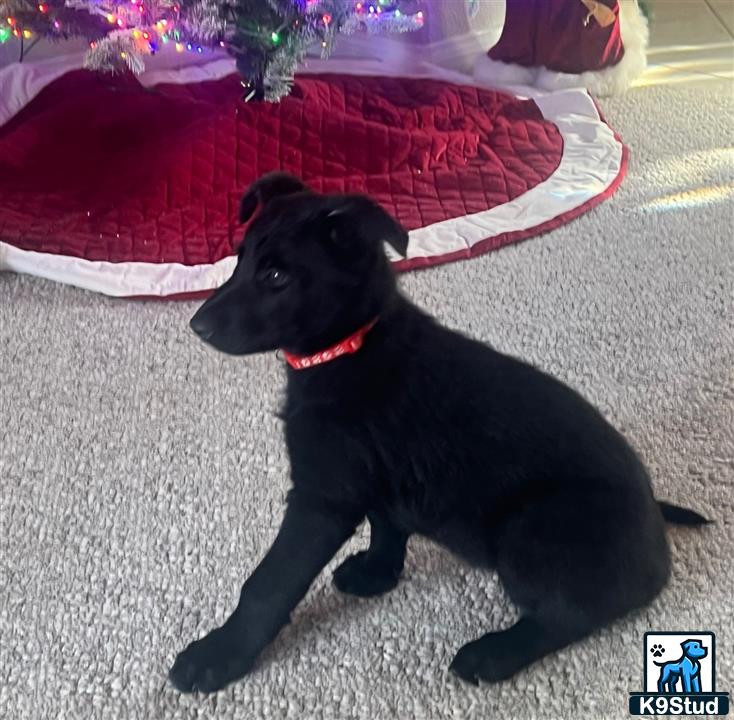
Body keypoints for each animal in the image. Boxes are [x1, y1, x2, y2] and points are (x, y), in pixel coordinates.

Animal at [170, 173, 712, 692]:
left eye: (277, 276)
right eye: (239, 260)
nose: (197, 326)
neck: (351, 345)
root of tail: (656, 535)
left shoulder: (322, 498)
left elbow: (268, 583)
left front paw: (217, 656)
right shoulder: (374, 478)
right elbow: (386, 525)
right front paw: (377, 572)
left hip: (531, 530)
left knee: (571, 614)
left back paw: (493, 654)